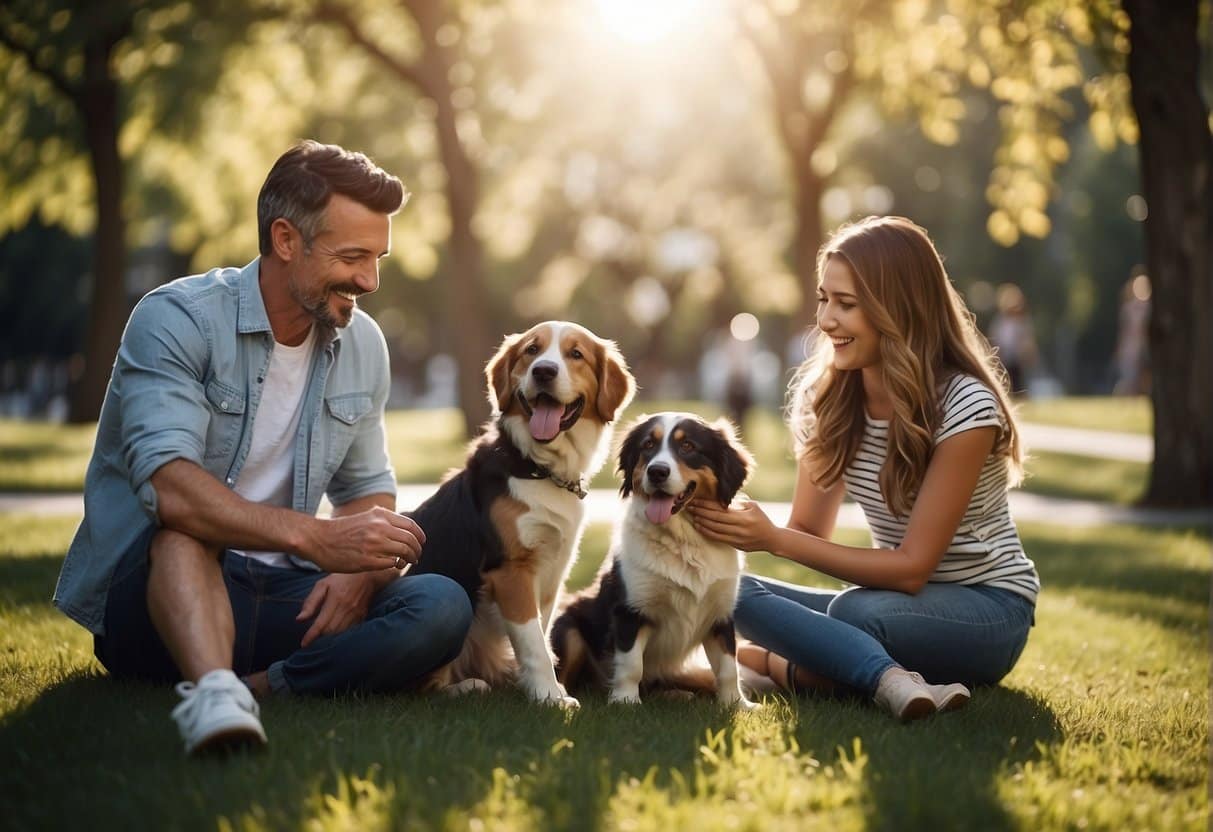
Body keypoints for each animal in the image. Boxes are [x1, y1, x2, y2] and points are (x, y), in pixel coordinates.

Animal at [407, 322, 635, 708]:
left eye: (576, 354)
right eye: (532, 350)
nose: (543, 371)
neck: (540, 469)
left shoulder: (552, 571)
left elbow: (540, 636)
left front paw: (544, 690)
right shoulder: (512, 571)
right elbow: (534, 644)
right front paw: (550, 697)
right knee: (422, 687)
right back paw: (468, 686)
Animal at [553, 414, 756, 708]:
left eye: (688, 446)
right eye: (648, 445)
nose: (657, 472)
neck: (684, 542)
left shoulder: (720, 613)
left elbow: (729, 667)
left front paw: (736, 705)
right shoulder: (631, 610)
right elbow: (631, 664)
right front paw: (626, 701)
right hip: (568, 628)